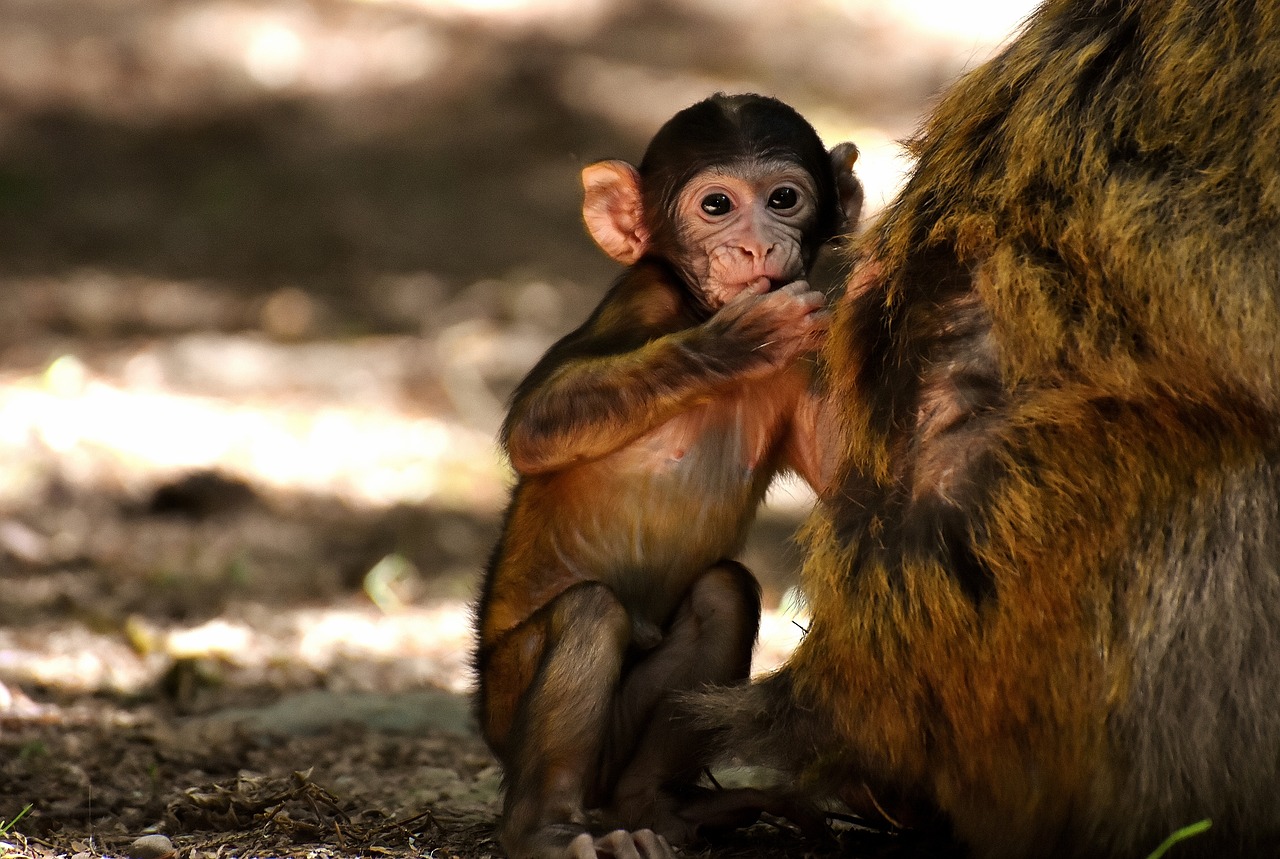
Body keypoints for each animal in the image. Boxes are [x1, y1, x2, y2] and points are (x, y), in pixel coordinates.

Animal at [476, 94, 865, 859]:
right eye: (716, 205)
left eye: (783, 199)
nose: (755, 245)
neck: (692, 306)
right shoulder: (643, 301)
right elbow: (538, 422)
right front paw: (737, 342)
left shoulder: (808, 361)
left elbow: (851, 472)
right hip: (503, 702)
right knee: (591, 612)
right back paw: (545, 827)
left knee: (725, 592)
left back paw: (657, 809)